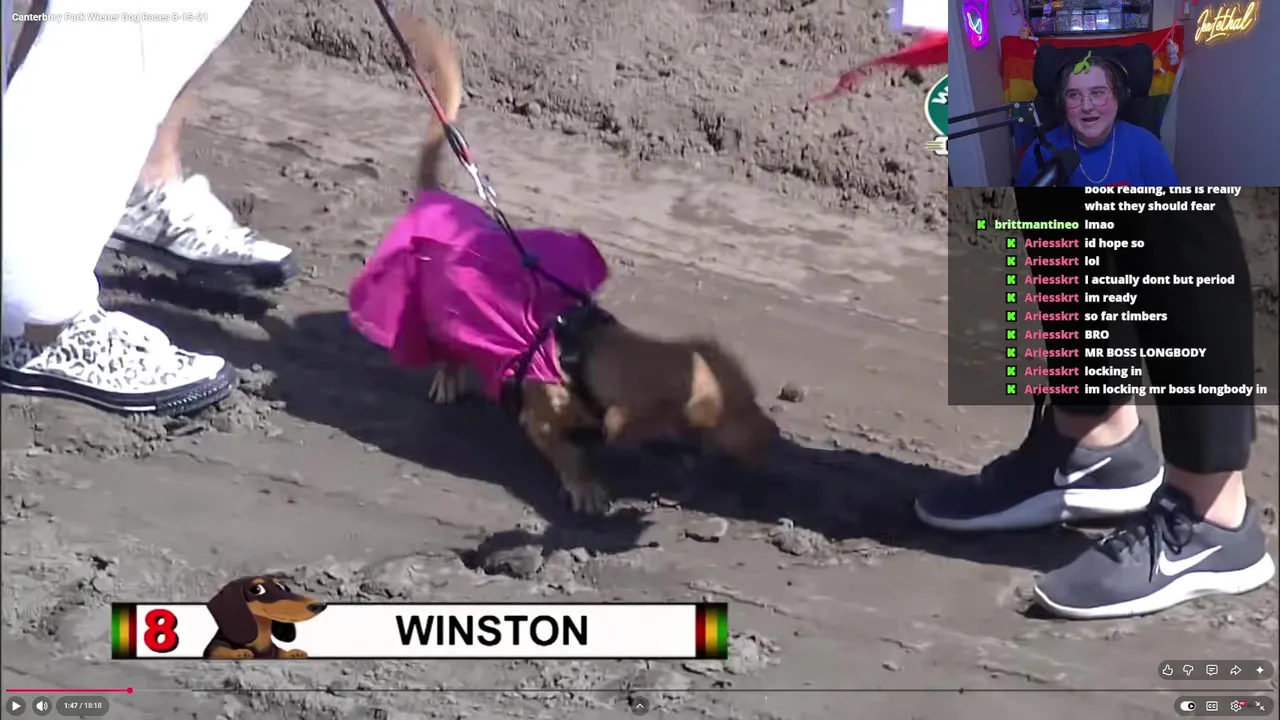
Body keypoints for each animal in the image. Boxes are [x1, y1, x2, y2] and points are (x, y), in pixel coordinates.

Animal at [348, 13, 778, 515]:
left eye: (753, 397)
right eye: (728, 415)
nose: (776, 437)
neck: (589, 354)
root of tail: (437, 198)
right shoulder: (540, 421)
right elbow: (568, 453)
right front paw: (585, 486)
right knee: (446, 351)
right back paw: (449, 377)